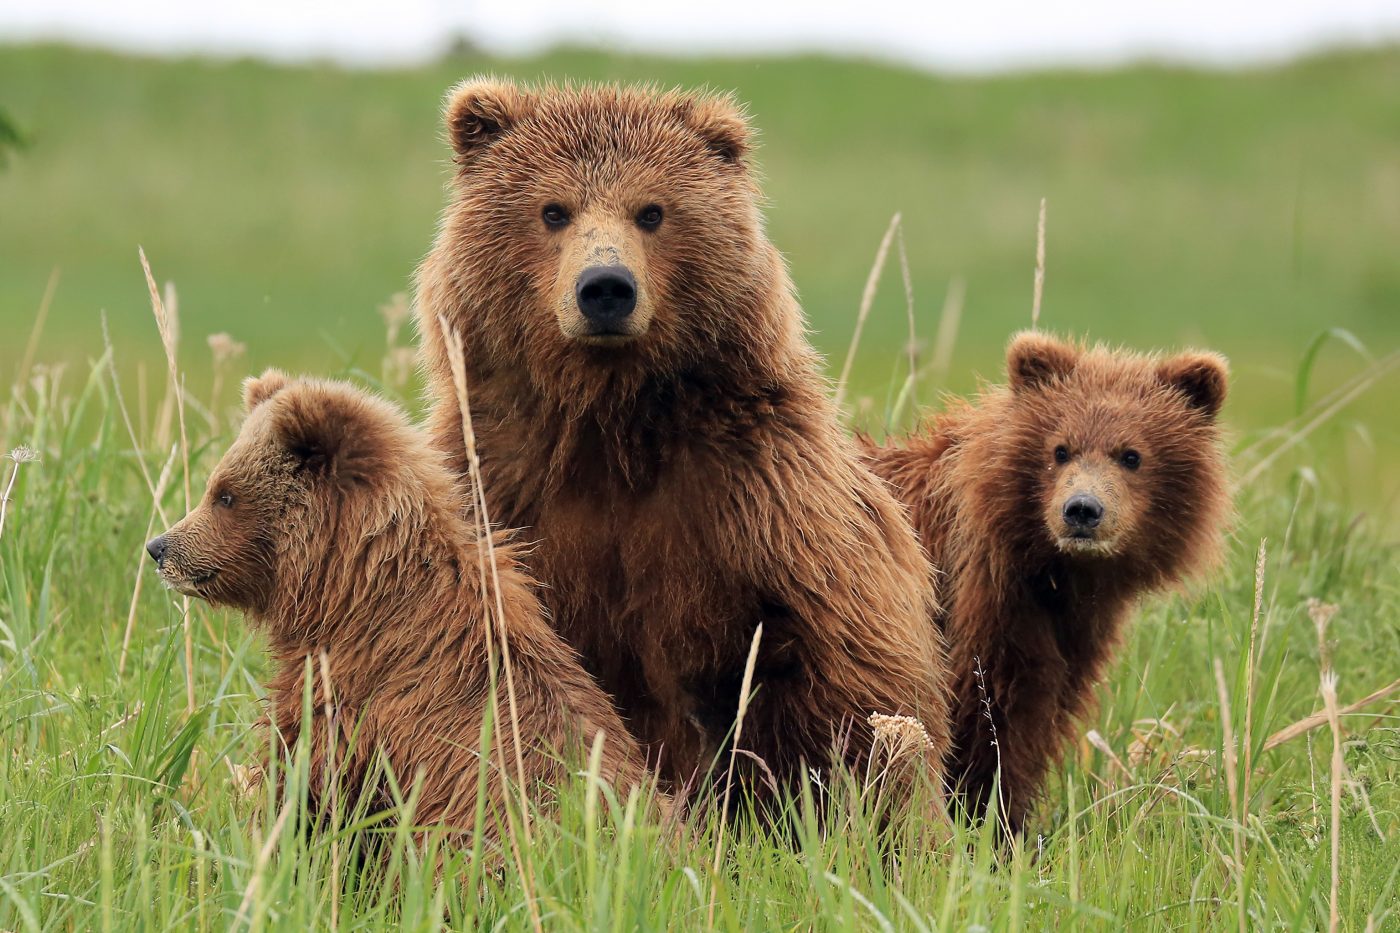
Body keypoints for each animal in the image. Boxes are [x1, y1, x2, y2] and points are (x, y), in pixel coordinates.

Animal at [413, 79, 950, 806]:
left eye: (651, 211)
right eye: (553, 210)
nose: (605, 288)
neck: (610, 422)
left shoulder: (762, 497)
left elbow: (842, 669)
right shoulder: (503, 483)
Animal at [862, 331, 1231, 834]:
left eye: (1131, 455)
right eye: (1060, 449)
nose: (1082, 510)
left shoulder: (1069, 633)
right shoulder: (981, 608)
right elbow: (989, 714)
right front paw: (986, 820)